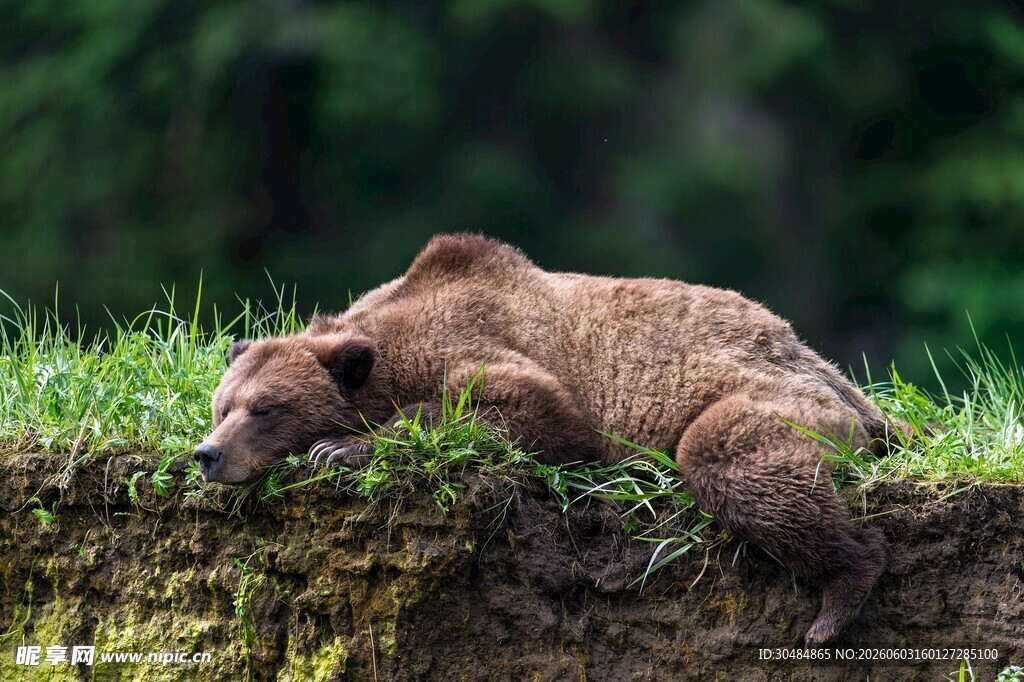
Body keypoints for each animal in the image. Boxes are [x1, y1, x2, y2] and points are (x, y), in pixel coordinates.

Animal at [195, 233, 896, 646]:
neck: (390, 350)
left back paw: (836, 598)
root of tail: (810, 353)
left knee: (728, 455)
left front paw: (342, 446)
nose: (207, 454)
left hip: (773, 393)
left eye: (265, 409)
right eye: (222, 405)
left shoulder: (494, 347)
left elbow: (535, 414)